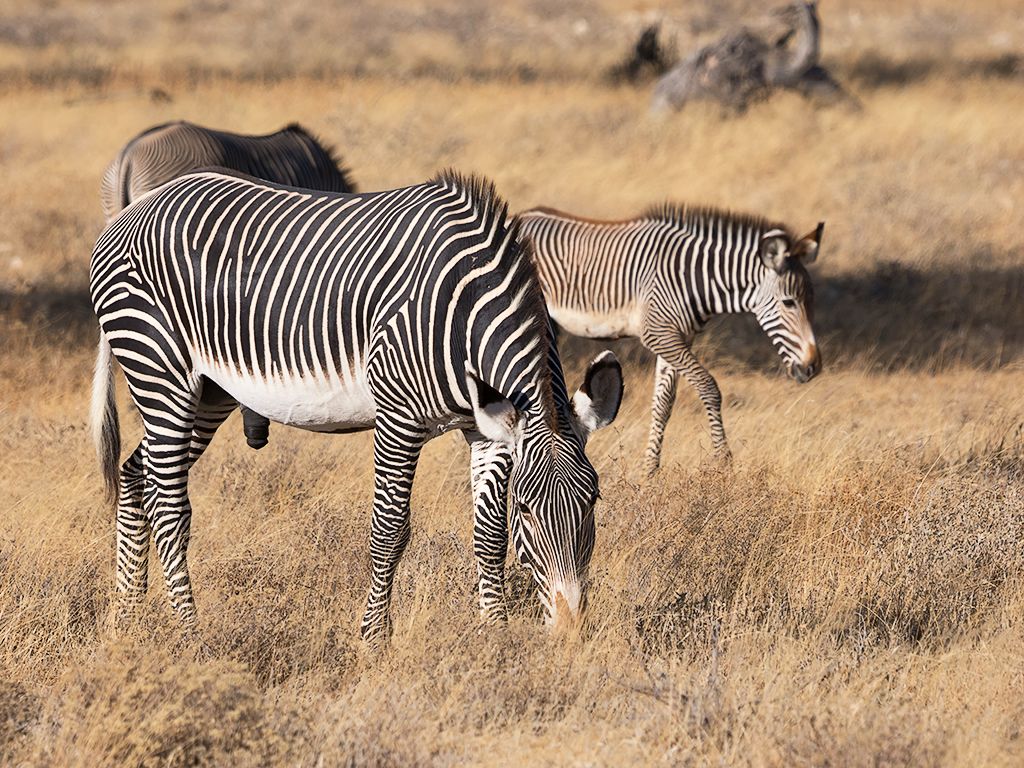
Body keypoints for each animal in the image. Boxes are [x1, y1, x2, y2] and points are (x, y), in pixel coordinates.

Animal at [90, 169, 623, 641]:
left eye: (594, 499)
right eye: (528, 510)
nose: (570, 632)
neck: (465, 309)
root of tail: (137, 208)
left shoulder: (484, 426)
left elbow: (489, 534)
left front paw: (495, 634)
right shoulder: (397, 416)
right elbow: (389, 533)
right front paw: (373, 639)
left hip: (210, 391)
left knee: (135, 475)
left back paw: (127, 619)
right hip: (161, 370)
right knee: (169, 506)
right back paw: (188, 633)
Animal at [518, 203, 823, 475]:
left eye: (811, 300)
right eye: (789, 303)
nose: (813, 367)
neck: (695, 278)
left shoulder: (677, 338)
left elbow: (663, 403)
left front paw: (649, 473)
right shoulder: (657, 333)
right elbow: (709, 387)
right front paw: (724, 463)